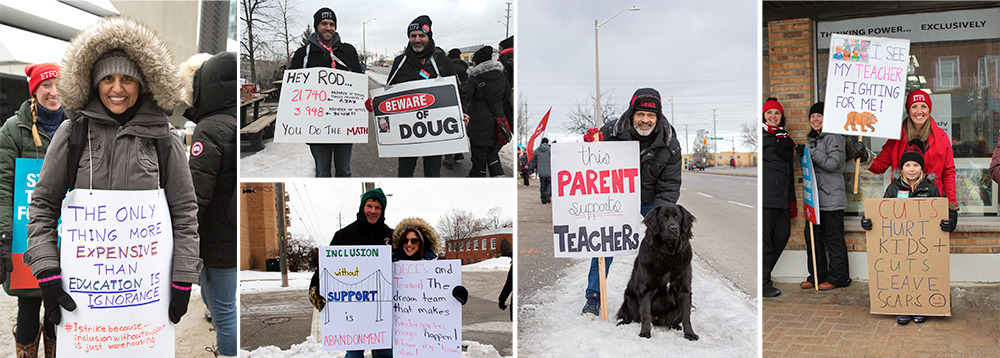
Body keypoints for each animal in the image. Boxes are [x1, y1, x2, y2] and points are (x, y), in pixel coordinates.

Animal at [612, 203, 700, 340]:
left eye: (678, 217)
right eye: (663, 218)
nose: (673, 228)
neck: (669, 254)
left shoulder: (684, 290)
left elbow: (686, 316)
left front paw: (690, 334)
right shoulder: (645, 289)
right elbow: (646, 313)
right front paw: (645, 333)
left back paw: (676, 326)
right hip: (630, 299)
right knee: (633, 317)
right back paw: (623, 323)